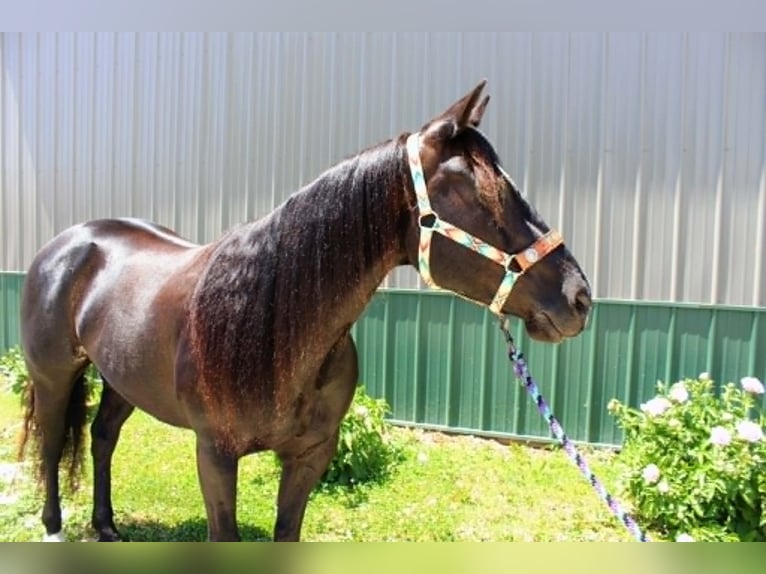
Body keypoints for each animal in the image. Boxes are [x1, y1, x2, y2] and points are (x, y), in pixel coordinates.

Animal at [17, 80, 591, 542]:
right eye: (482, 195)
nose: (579, 298)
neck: (273, 326)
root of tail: (71, 241)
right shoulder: (215, 454)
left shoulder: (311, 455)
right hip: (53, 376)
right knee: (51, 445)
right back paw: (53, 528)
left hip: (124, 378)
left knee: (102, 438)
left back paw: (107, 527)